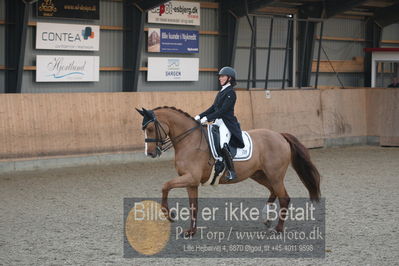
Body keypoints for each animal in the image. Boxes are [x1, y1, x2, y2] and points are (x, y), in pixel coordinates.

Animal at [138, 106, 322, 235]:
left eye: (150, 129)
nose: (150, 153)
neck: (189, 140)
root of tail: (279, 135)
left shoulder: (191, 178)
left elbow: (165, 186)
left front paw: (170, 215)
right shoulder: (191, 182)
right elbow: (193, 206)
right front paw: (191, 231)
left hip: (274, 175)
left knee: (284, 198)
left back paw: (278, 228)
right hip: (259, 174)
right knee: (273, 192)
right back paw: (266, 217)